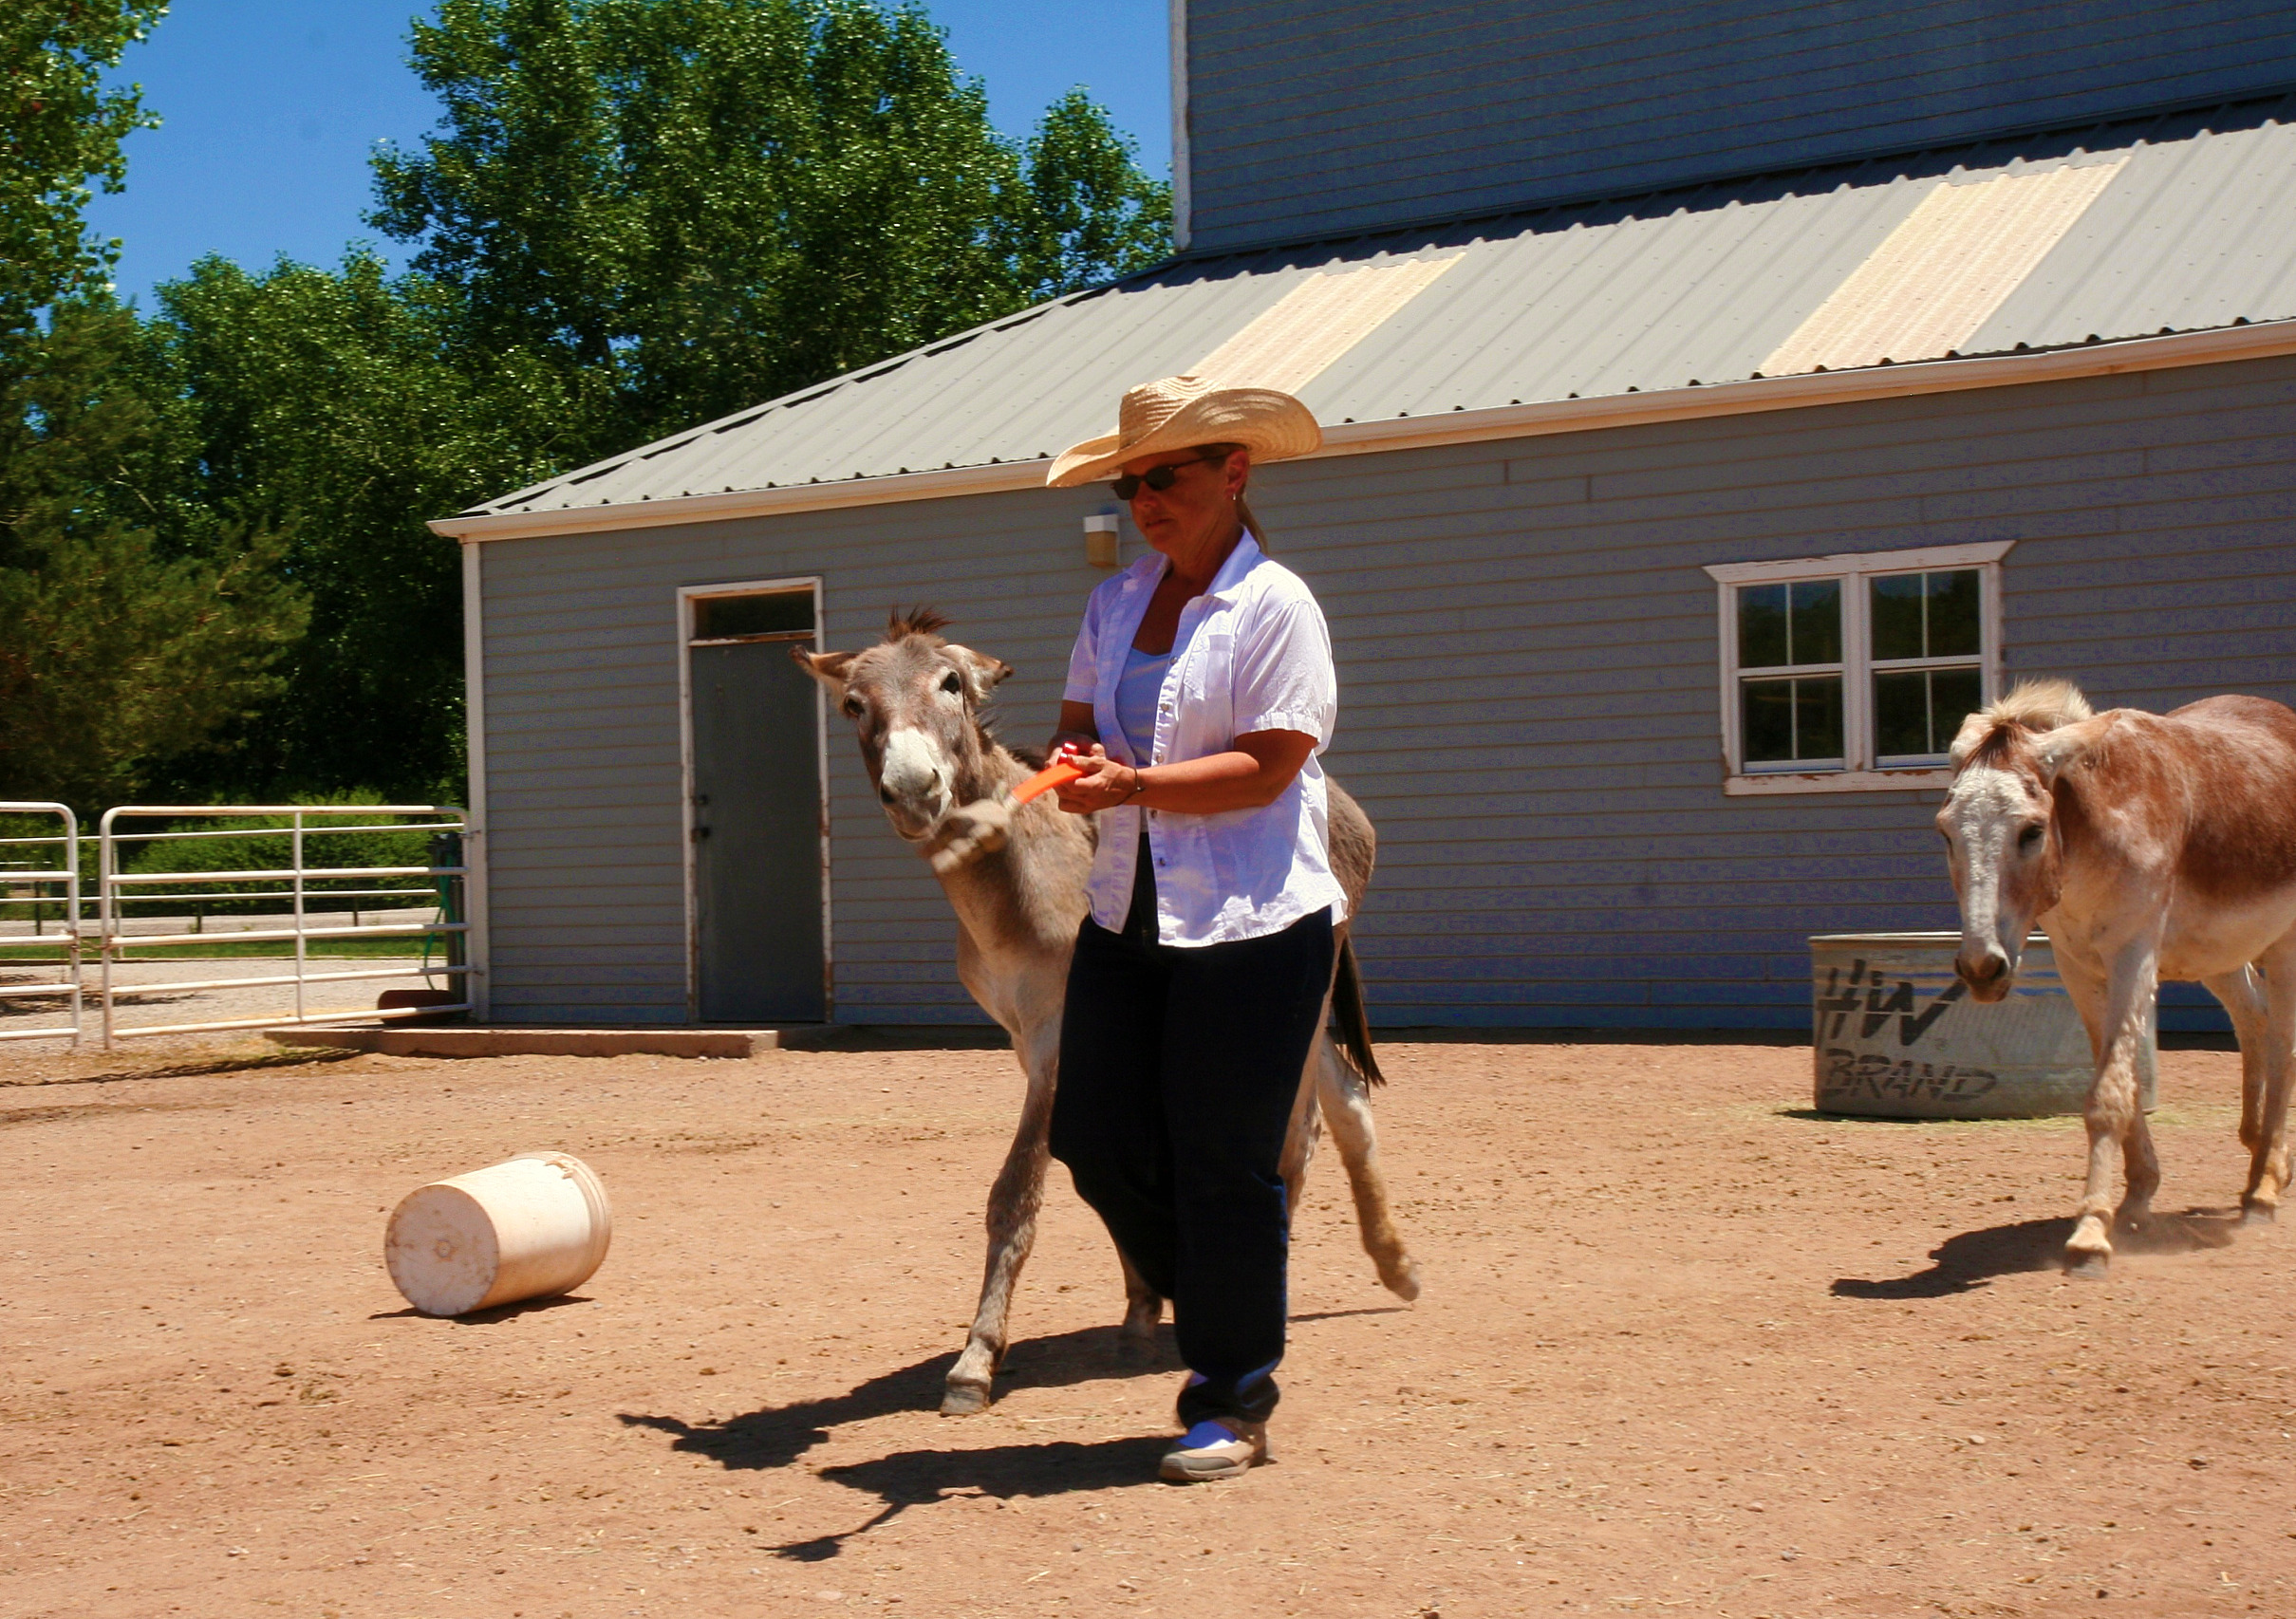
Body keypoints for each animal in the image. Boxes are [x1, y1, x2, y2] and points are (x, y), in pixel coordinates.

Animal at [793, 609, 1420, 1413]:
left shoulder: (1059, 1037)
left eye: (950, 683)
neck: (1016, 872)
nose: (911, 788)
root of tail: (1335, 795)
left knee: (1301, 1123)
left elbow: (1016, 1194)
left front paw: (975, 1360)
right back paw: (1389, 1263)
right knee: (1341, 1094)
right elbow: (1099, 1160)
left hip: (1284, 983)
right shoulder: (1034, 1039)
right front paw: (1141, 1307)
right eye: (853, 705)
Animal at [1937, 679, 2296, 1275]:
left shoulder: (2134, 955)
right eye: (1945, 833)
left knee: (2285, 1043)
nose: (1981, 969)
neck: (2095, 828)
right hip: (2221, 955)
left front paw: (2090, 1236)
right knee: (2255, 1018)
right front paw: (2135, 1198)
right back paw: (2260, 1161)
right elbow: (2122, 1084)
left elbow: (2108, 1094)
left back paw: (2264, 1189)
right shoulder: (2078, 966)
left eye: (2032, 831)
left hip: (2285, 943)